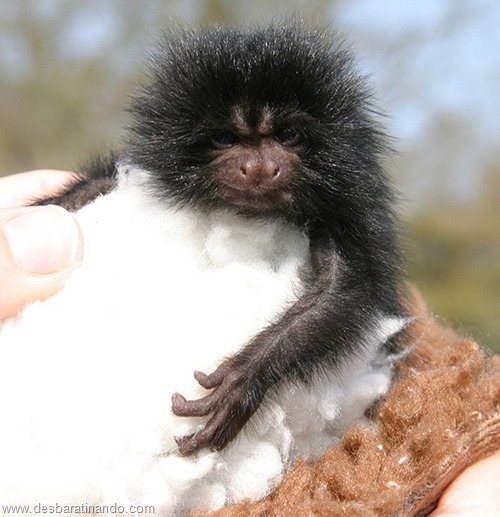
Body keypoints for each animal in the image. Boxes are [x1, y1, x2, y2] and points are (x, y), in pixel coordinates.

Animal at [39, 22, 406, 454]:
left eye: (287, 135)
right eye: (226, 140)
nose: (259, 168)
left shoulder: (354, 200)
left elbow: (341, 288)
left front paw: (244, 379)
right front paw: (72, 197)